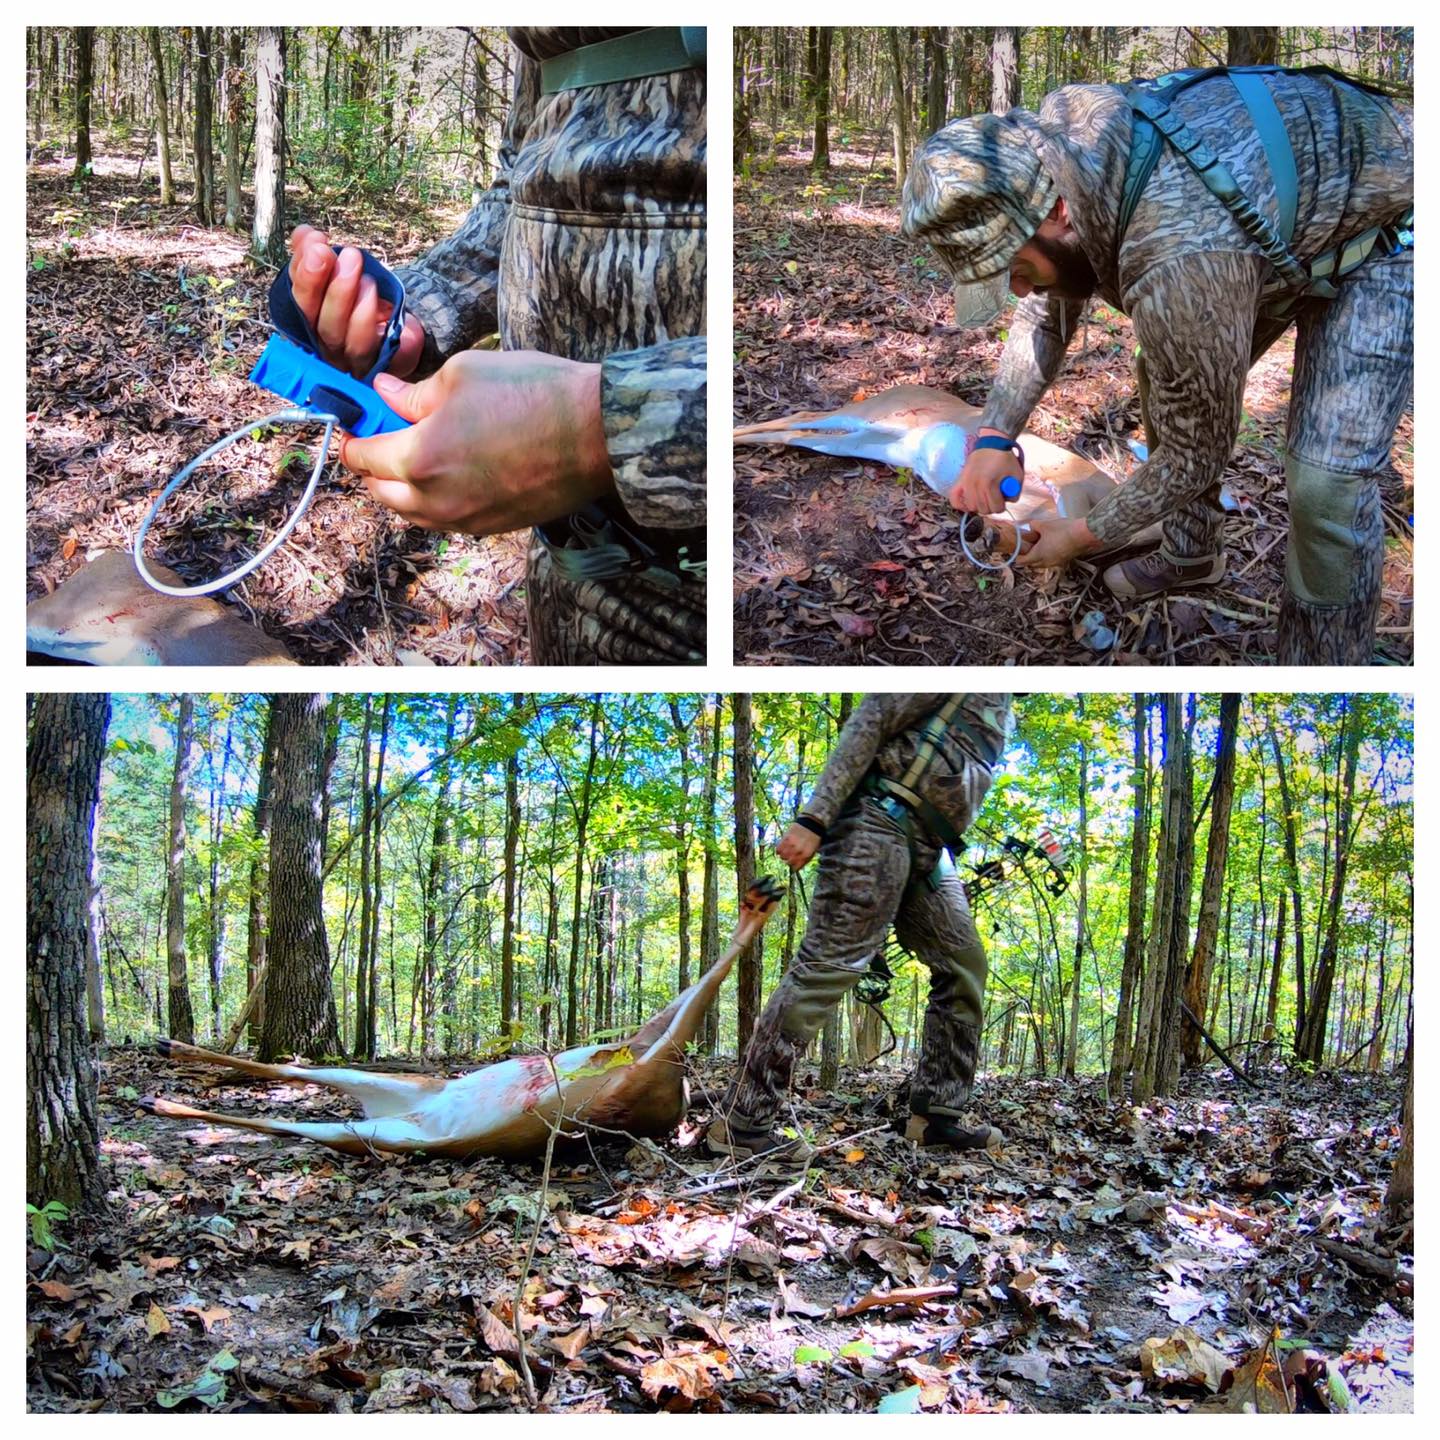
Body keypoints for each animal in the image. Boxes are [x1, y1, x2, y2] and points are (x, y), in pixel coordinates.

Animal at [140, 875, 783, 1157]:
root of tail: (414, 1114)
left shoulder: (639, 1072)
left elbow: (697, 994)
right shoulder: (640, 1051)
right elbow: (688, 996)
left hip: (381, 1129)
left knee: (284, 1115)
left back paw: (169, 1098)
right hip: (402, 1091)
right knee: (294, 1076)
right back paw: (173, 1063)